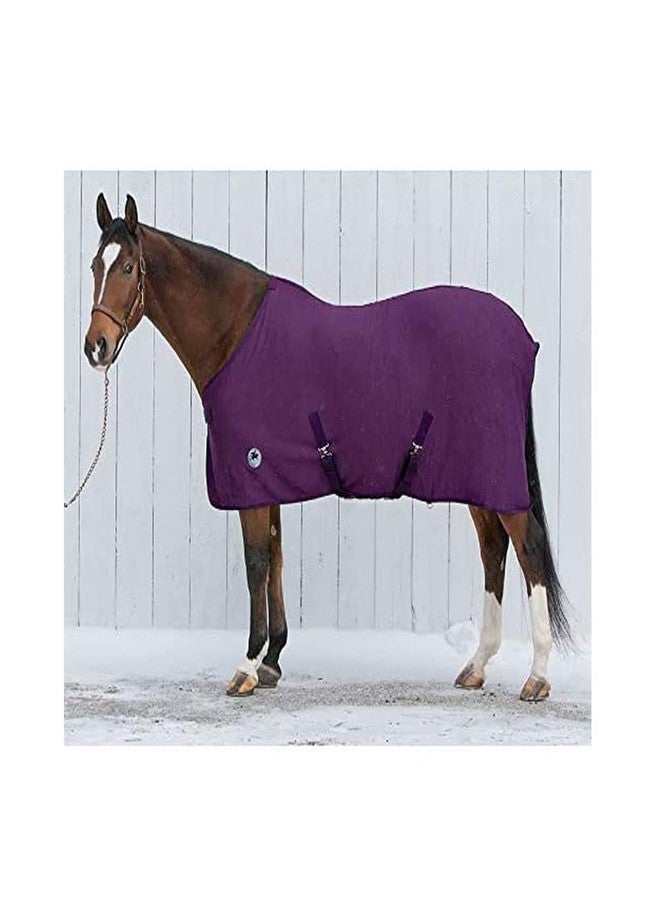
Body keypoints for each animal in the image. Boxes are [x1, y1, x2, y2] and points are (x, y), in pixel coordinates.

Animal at [83, 192, 570, 702]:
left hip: (498, 480)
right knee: (494, 549)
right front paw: (272, 661)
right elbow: (276, 559)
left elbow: (256, 564)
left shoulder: (251, 475)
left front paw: (246, 666)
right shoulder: (267, 480)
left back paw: (537, 676)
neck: (236, 334)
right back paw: (476, 666)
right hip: (480, 479)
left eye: (129, 267)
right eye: (95, 265)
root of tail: (522, 338)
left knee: (529, 547)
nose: (95, 347)